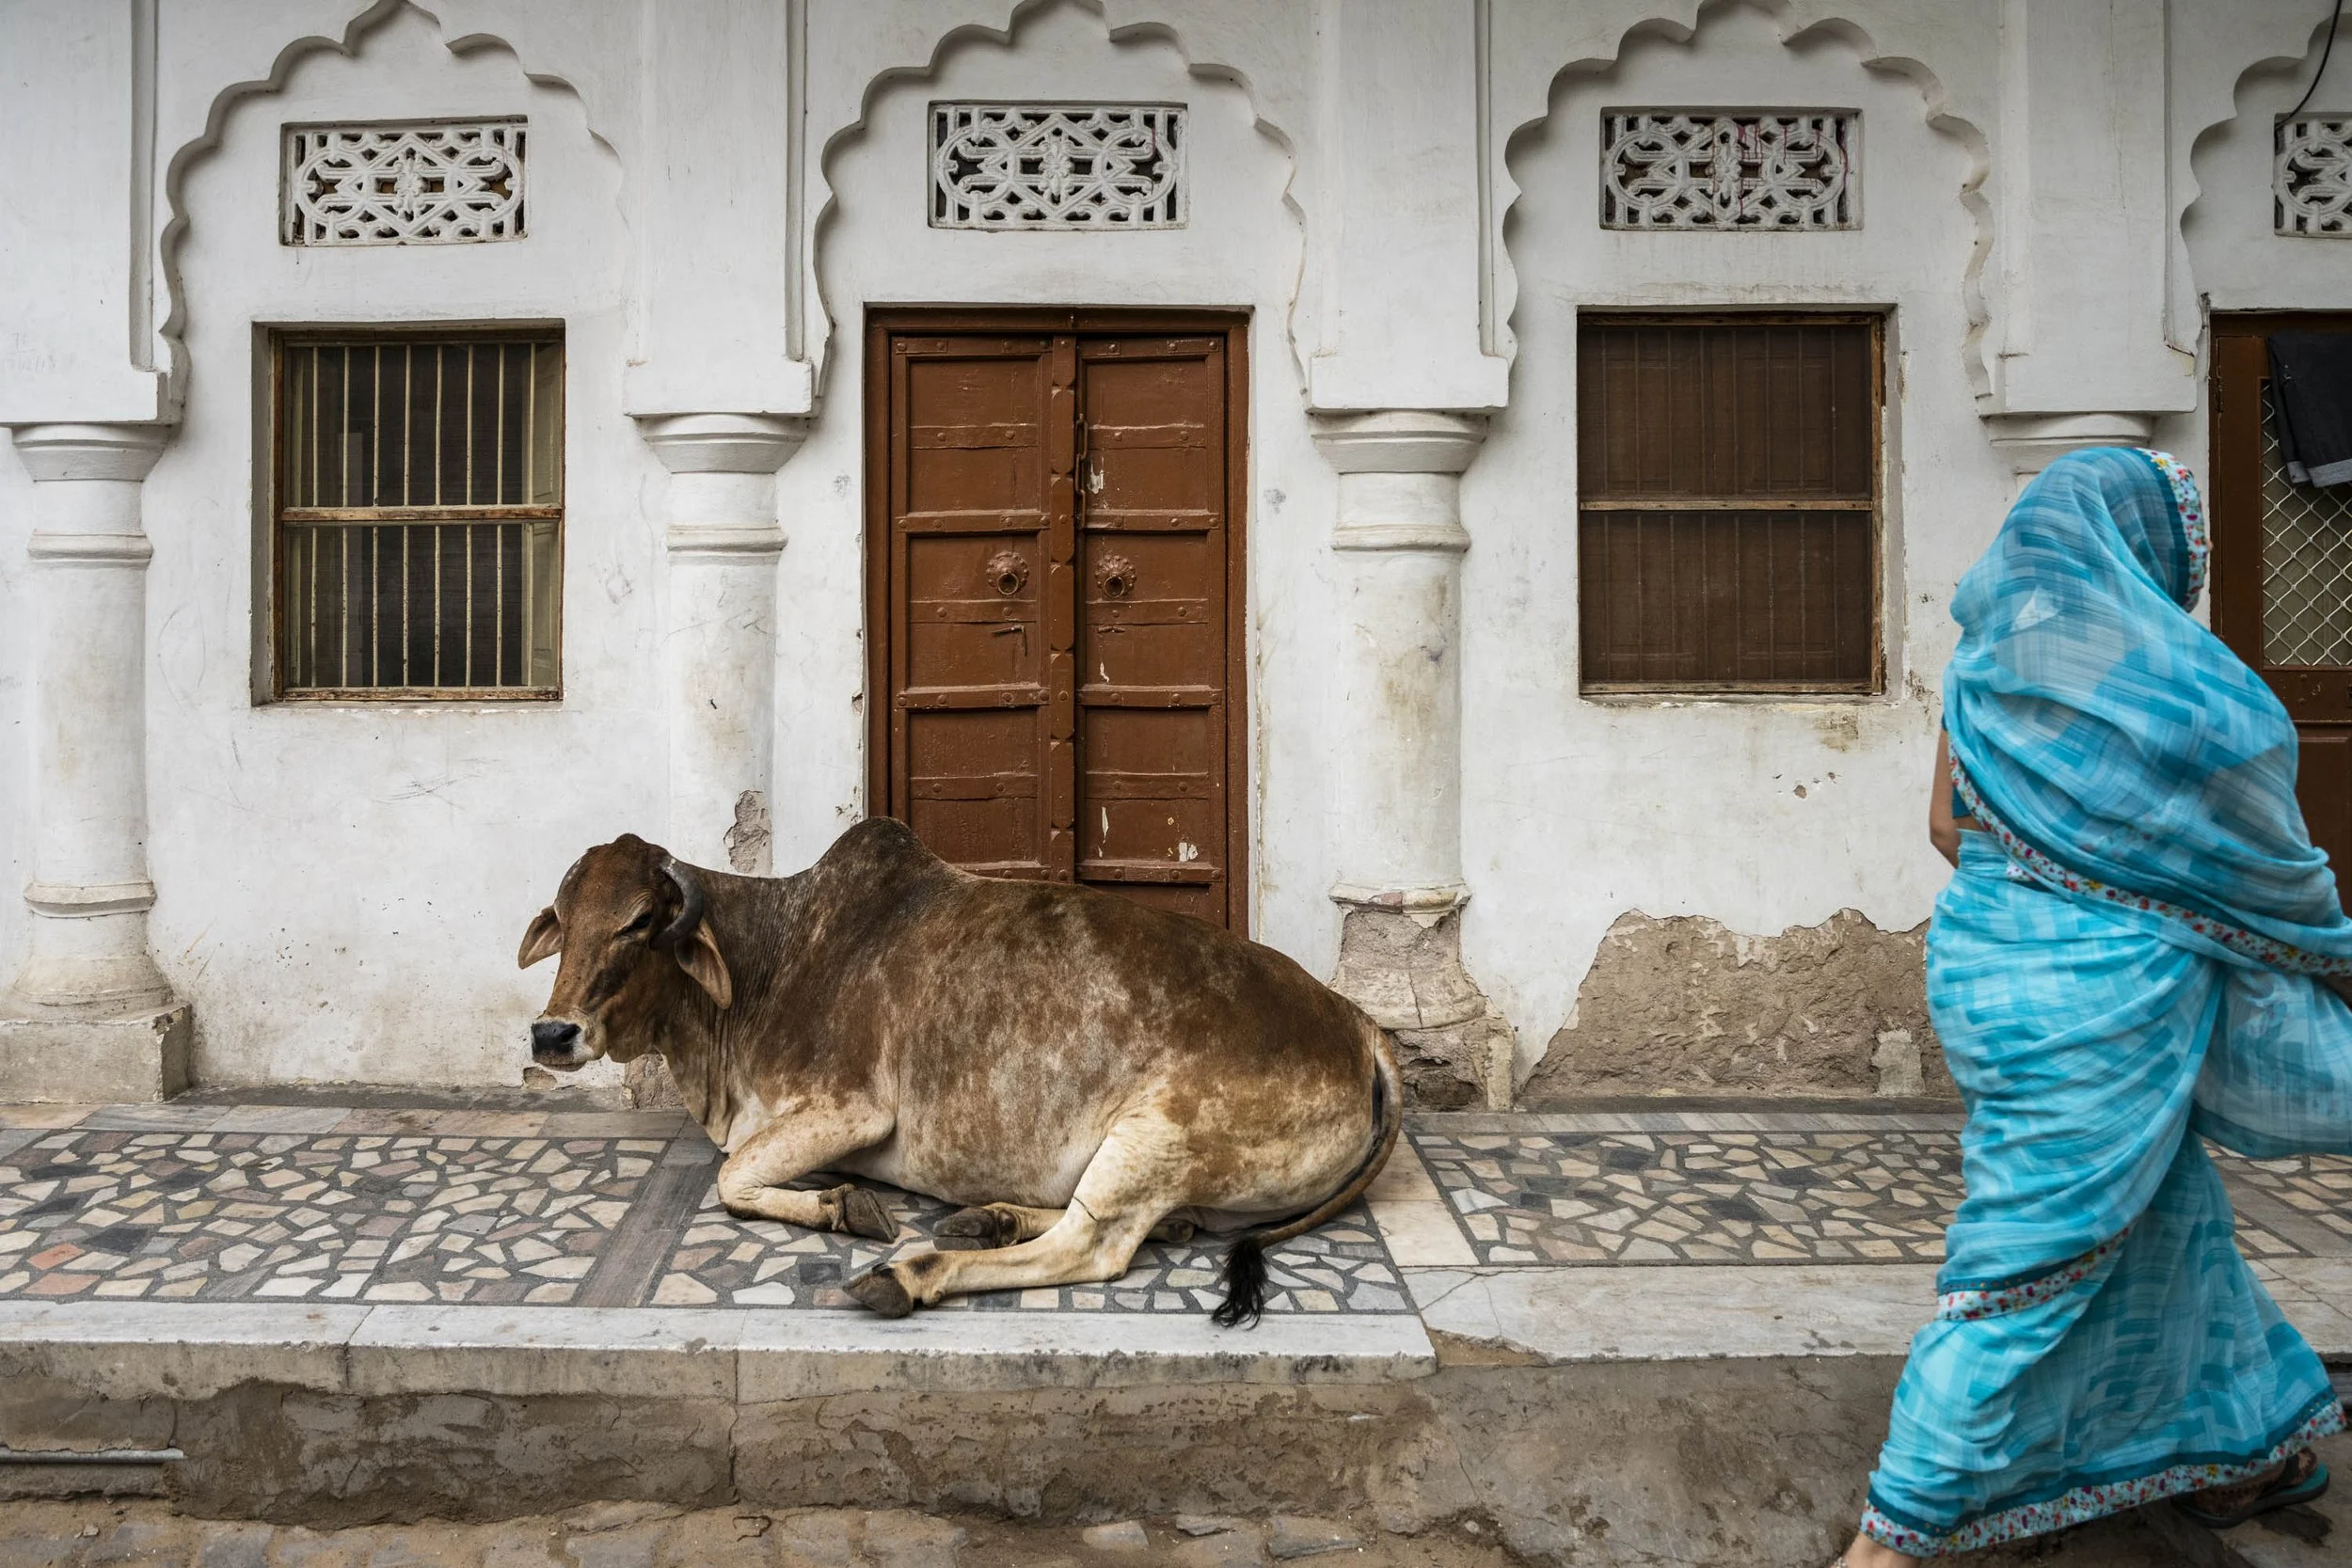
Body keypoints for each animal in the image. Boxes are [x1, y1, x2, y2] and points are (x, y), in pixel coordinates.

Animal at [517, 821, 1399, 1324]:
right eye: (563, 918)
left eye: (639, 920)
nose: (552, 1031)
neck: (773, 955)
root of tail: (1360, 1027)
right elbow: (737, 1176)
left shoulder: (853, 1109)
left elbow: (732, 1177)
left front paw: (848, 1207)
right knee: (1160, 1225)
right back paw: (990, 1217)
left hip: (1153, 1137)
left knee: (1092, 1244)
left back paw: (912, 1271)